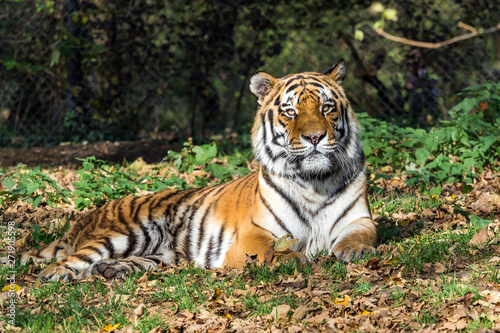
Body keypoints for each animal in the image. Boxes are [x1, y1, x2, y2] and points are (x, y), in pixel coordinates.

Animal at [20, 59, 378, 280]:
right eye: (290, 112)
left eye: (326, 108)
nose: (315, 137)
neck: (314, 182)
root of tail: (88, 215)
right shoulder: (254, 235)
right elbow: (271, 251)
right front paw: (294, 258)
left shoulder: (359, 218)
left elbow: (362, 235)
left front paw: (354, 250)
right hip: (122, 235)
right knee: (68, 262)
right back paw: (56, 275)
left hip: (162, 254)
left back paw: (111, 271)